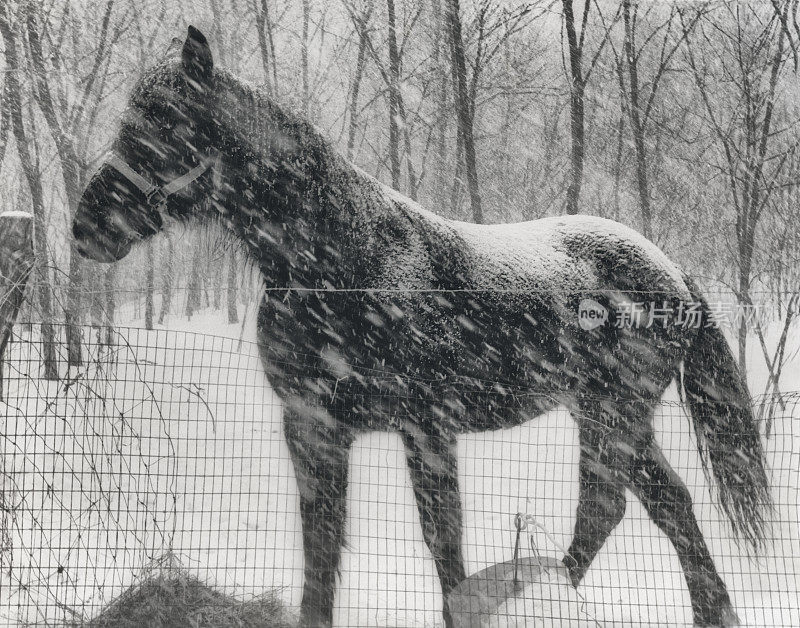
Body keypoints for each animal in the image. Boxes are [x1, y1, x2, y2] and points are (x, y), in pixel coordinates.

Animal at [73, 28, 768, 628]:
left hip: (612, 415)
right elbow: (322, 551)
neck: (345, 262)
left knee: (616, 505)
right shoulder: (313, 428)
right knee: (657, 505)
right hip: (609, 415)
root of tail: (670, 268)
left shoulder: (427, 429)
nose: (86, 228)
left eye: (166, 124)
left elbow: (444, 544)